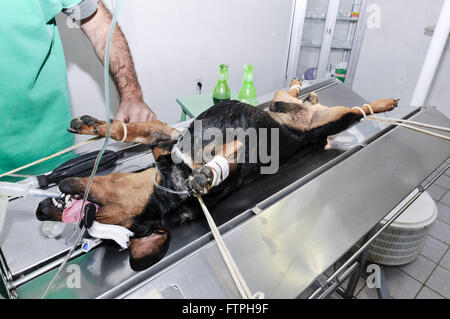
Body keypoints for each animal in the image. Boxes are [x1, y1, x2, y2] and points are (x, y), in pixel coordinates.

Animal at [37, 80, 400, 272]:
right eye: (91, 226)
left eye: (91, 216)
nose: (41, 210)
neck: (172, 179)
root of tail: (310, 124)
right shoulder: (172, 146)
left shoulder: (175, 143)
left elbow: (137, 131)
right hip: (300, 110)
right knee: (295, 96)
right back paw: (310, 93)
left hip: (330, 118)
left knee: (354, 108)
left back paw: (379, 102)